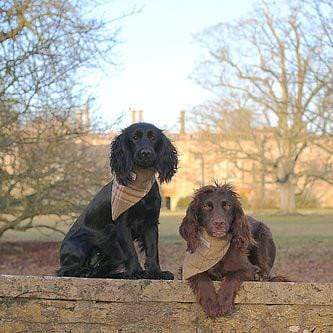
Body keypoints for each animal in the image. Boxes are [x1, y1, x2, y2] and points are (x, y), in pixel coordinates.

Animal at [57, 122, 176, 278]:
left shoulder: (151, 223)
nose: (145, 153)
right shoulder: (122, 224)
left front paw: (155, 272)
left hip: (115, 254)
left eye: (153, 137)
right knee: (64, 270)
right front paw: (136, 272)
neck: (140, 183)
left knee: (99, 270)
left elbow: (152, 249)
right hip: (81, 247)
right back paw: (85, 272)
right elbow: (131, 251)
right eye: (135, 137)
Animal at [179, 184, 286, 316]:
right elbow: (201, 277)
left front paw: (223, 302)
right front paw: (210, 303)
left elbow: (232, 276)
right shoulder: (187, 268)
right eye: (206, 206)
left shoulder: (248, 268)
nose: (219, 223)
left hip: (264, 234)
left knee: (266, 270)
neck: (215, 246)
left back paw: (261, 276)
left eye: (227, 206)